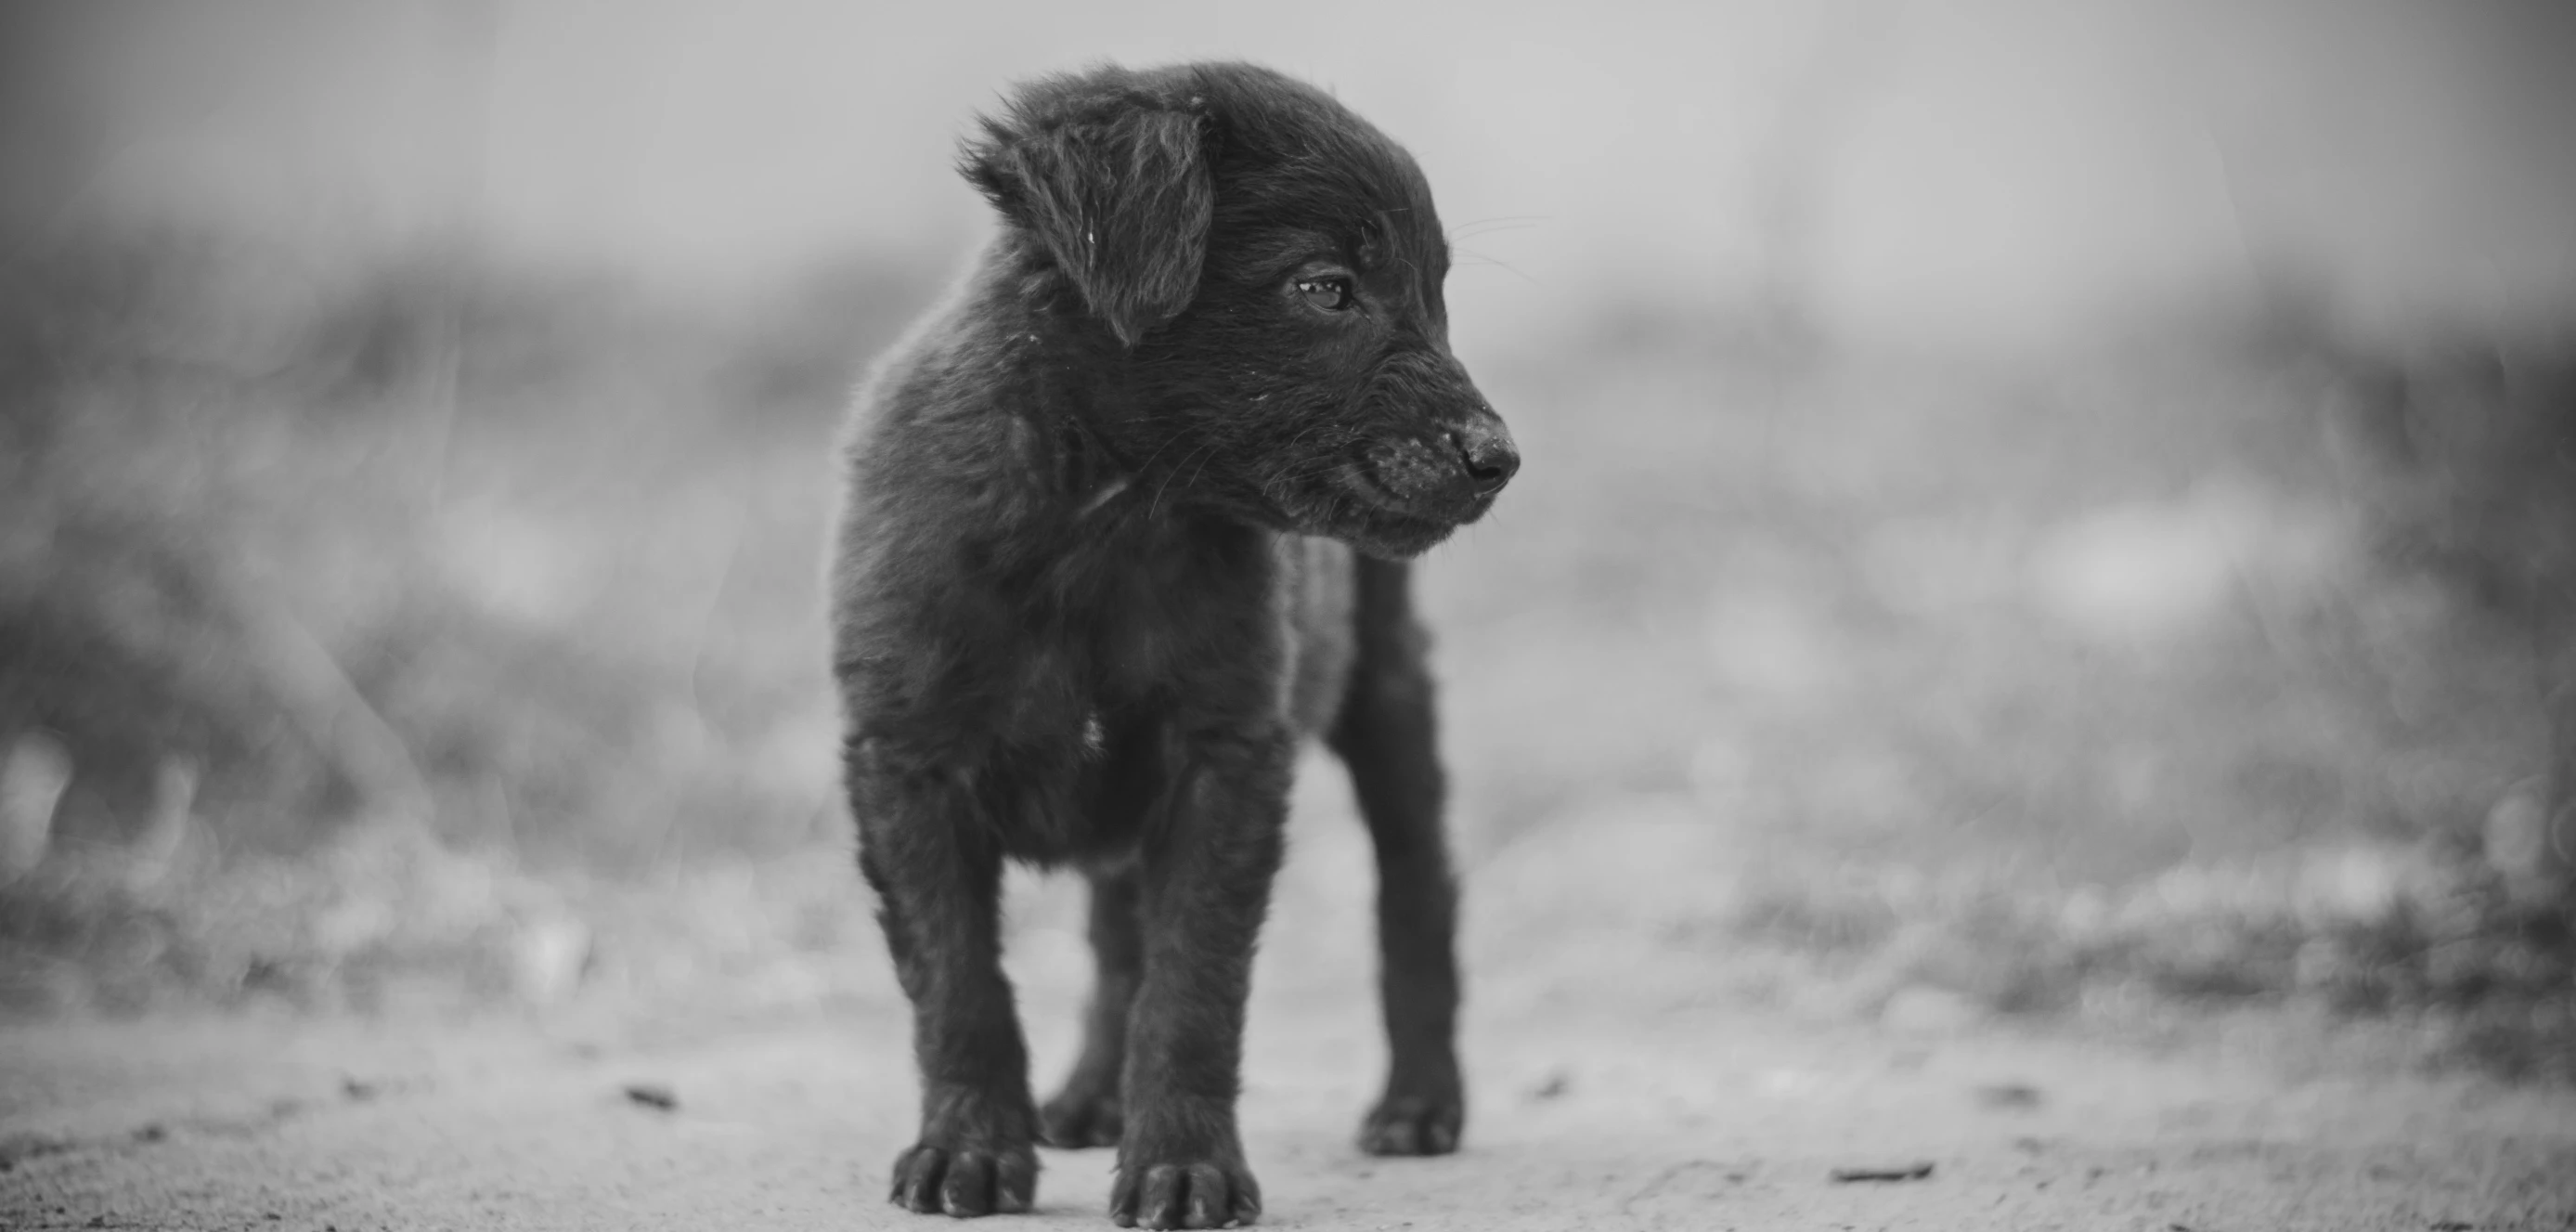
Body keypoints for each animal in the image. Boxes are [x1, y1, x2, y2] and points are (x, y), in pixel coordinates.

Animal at [829, 62, 1504, 1226]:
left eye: (1439, 293)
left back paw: (1420, 1101)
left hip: (1385, 684)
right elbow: (959, 980)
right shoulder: (906, 759)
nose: (1498, 457)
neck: (1104, 519)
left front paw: (1185, 1165)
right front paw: (969, 1148)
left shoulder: (1226, 754)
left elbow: (1193, 984)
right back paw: (1094, 1095)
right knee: (1114, 934)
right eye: (1327, 288)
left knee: (1413, 886)